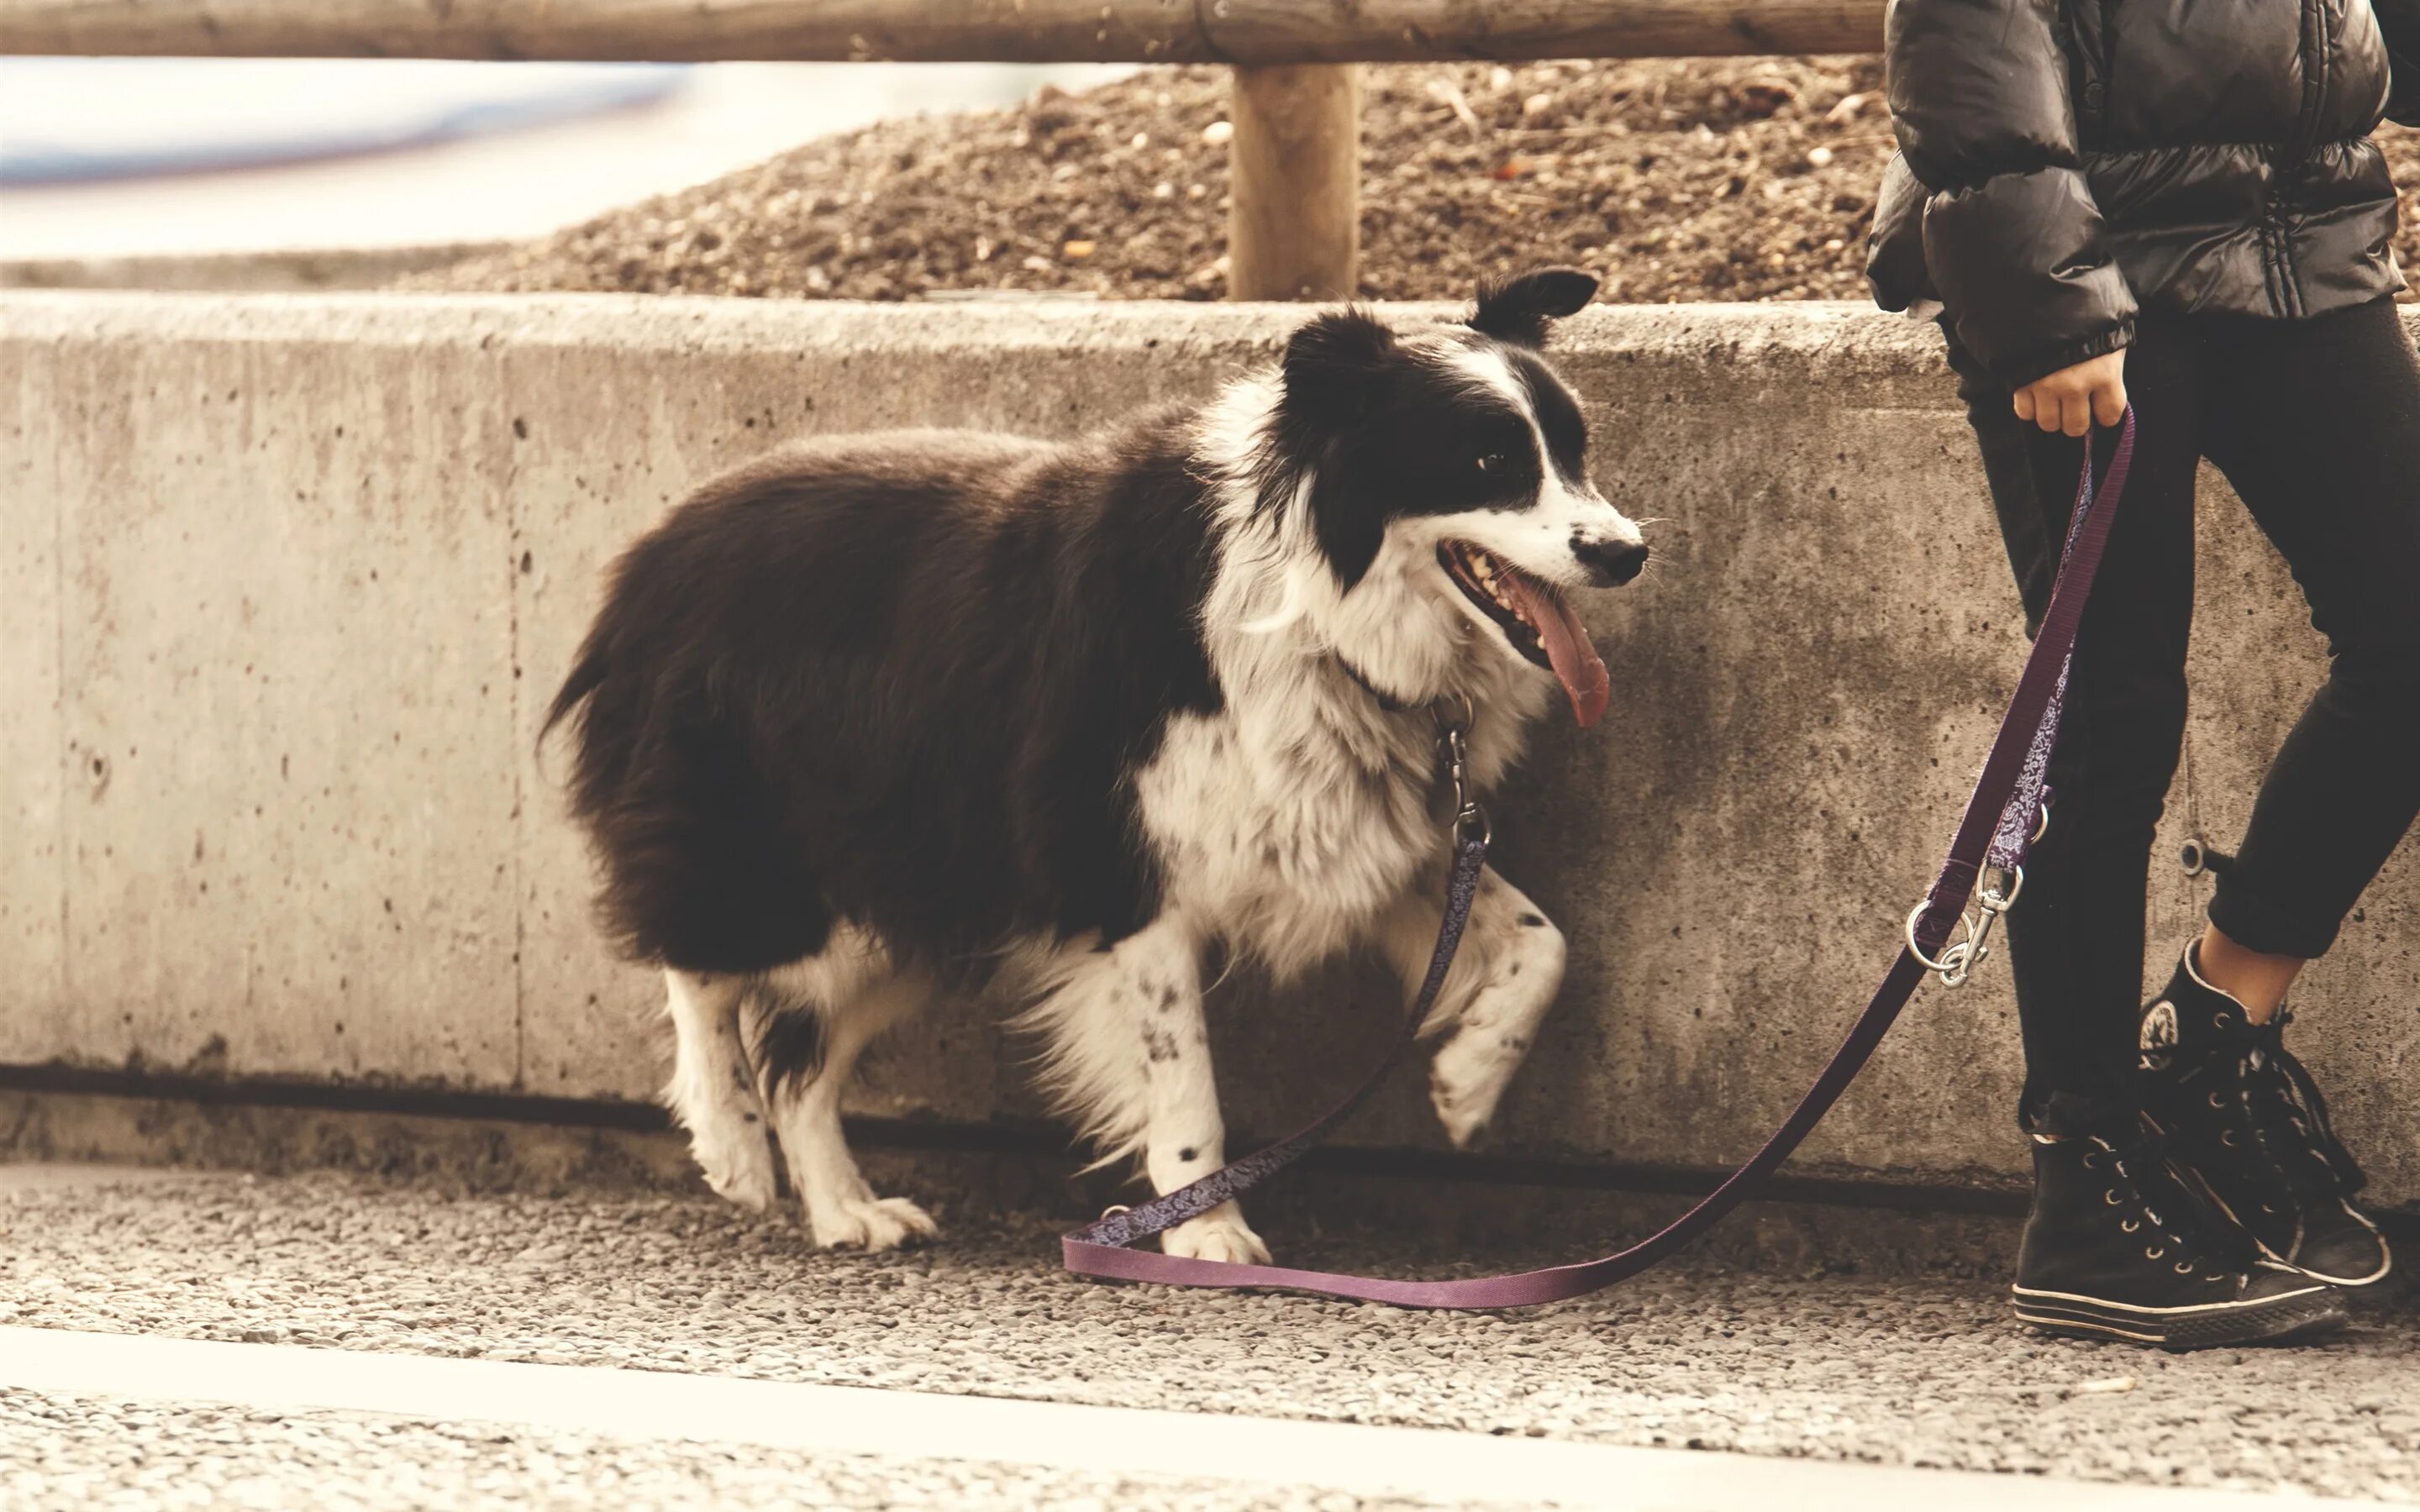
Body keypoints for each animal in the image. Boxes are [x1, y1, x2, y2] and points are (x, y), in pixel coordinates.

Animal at [549, 265, 1645, 1257]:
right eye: (1489, 461)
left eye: (1576, 451)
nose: (1627, 552)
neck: (1317, 609)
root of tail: (645, 561)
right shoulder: (1125, 868)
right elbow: (1184, 1075)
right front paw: (1207, 1236)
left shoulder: (1360, 828)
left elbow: (1543, 941)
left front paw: (1466, 1084)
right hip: (773, 835)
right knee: (700, 962)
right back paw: (732, 1144)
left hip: (924, 881)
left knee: (802, 1061)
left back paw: (846, 1210)